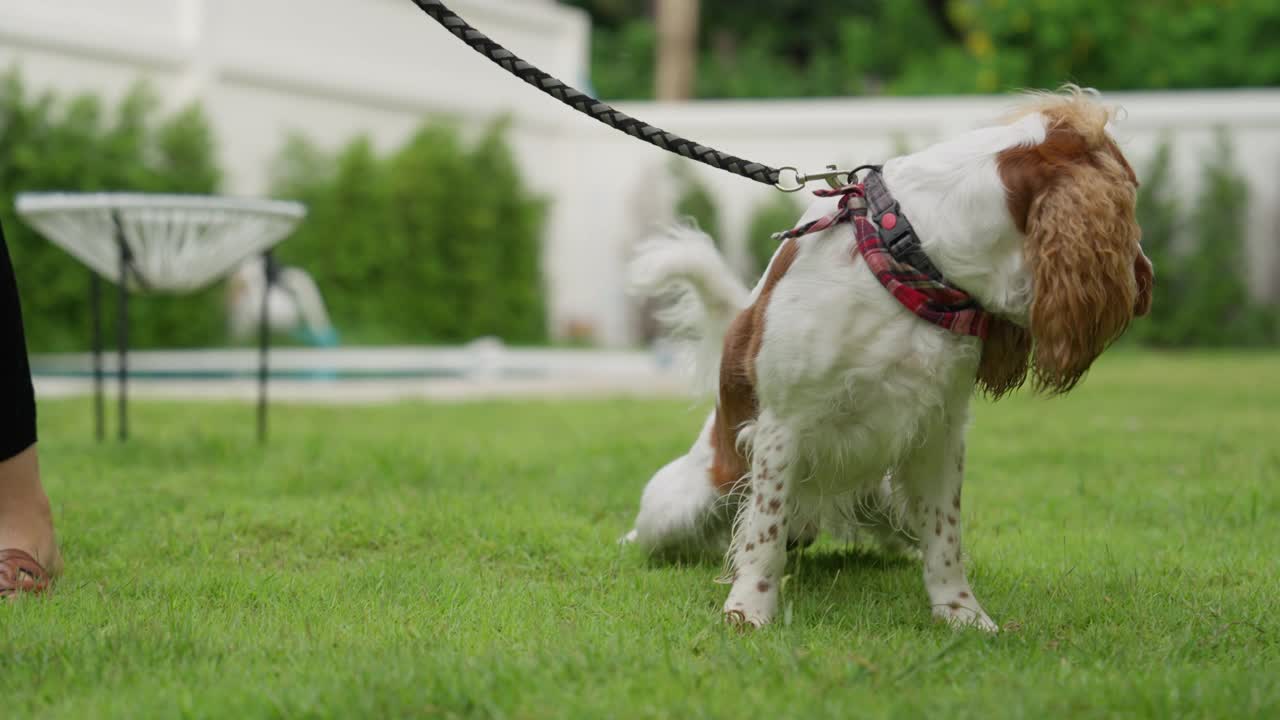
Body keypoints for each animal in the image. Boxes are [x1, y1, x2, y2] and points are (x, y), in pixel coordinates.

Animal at [624, 87, 1157, 627]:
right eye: (1128, 196)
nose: (1147, 281)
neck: (906, 257)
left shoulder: (943, 430)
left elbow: (946, 537)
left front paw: (961, 612)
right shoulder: (782, 426)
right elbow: (765, 532)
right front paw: (748, 610)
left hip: (888, 508)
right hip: (675, 507)